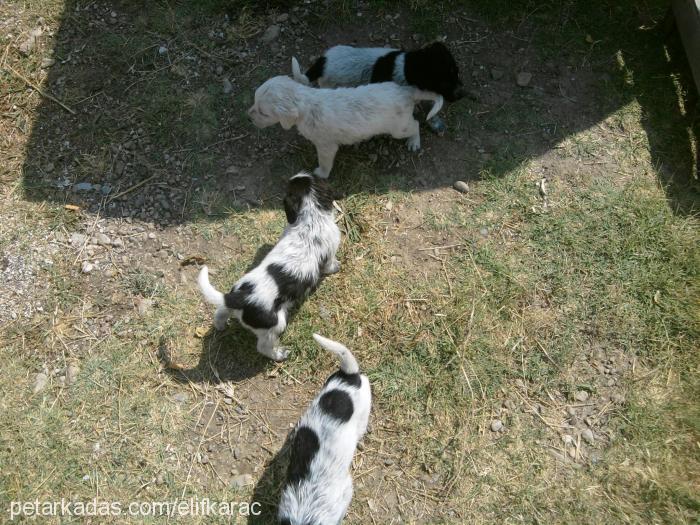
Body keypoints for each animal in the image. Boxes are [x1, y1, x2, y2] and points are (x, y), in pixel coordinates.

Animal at [196, 174, 340, 362]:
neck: (310, 218)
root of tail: (241, 297)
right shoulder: (330, 252)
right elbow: (330, 265)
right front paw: (336, 267)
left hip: (231, 299)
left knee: (221, 312)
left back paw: (220, 326)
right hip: (276, 325)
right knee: (263, 347)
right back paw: (279, 354)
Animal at [247, 74, 442, 179]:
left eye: (263, 113)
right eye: (254, 101)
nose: (248, 118)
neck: (307, 104)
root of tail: (405, 91)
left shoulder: (326, 146)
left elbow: (325, 163)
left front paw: (320, 173)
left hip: (399, 128)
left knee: (415, 124)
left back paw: (414, 142)